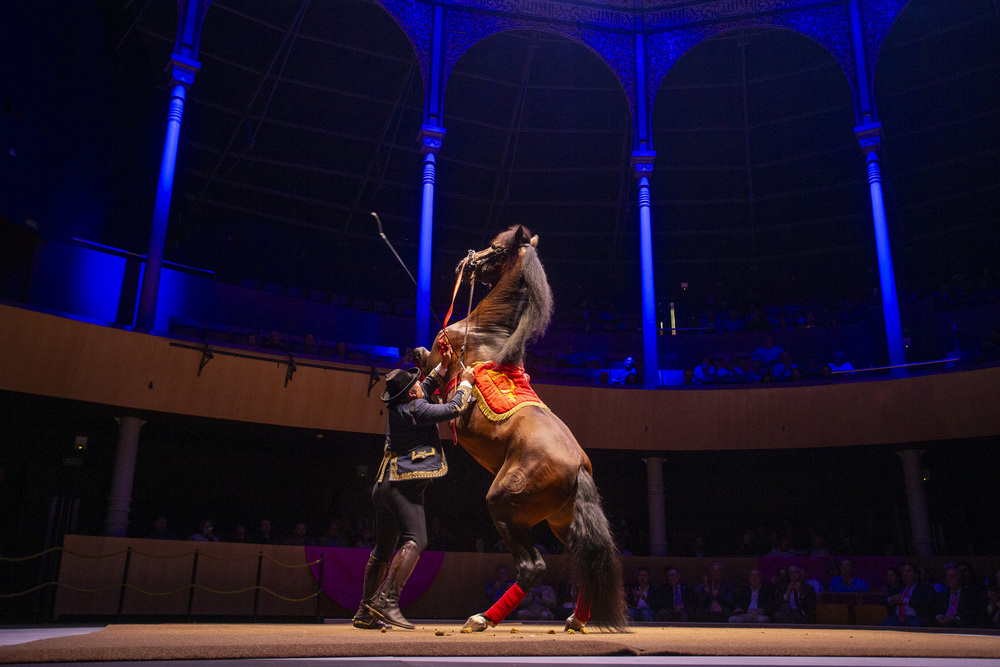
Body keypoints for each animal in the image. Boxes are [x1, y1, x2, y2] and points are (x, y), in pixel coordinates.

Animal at [414, 224, 624, 632]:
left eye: (495, 247)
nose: (466, 260)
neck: (486, 332)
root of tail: (579, 467)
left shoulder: (439, 361)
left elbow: (422, 361)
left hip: (504, 504)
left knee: (532, 567)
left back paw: (482, 619)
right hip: (561, 521)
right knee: (585, 560)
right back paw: (576, 619)